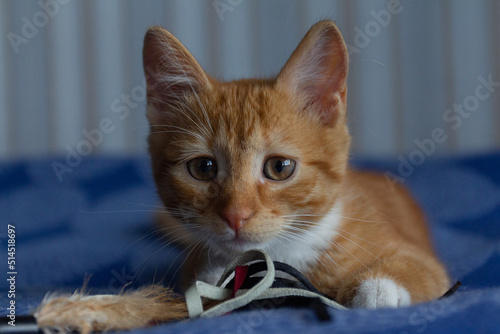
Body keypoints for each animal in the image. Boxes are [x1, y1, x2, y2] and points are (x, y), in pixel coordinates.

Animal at [35, 20, 450, 332]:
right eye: (203, 168)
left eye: (279, 167)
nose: (236, 215)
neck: (278, 255)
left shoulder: (412, 253)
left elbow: (417, 271)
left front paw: (378, 292)